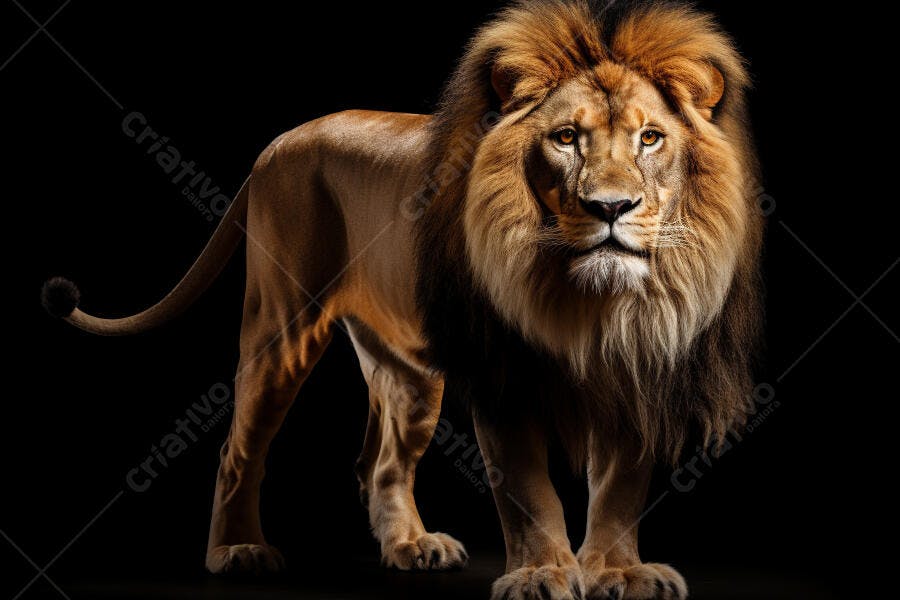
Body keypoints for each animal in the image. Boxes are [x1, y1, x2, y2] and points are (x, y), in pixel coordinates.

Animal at [42, 2, 763, 599]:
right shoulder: (500, 377)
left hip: (411, 374)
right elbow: (528, 490)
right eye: (565, 138)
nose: (611, 208)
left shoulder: (645, 367)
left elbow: (619, 490)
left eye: (650, 138)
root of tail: (276, 144)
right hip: (281, 326)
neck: (594, 302)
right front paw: (540, 574)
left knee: (381, 462)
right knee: (238, 448)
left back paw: (412, 546)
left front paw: (617, 573)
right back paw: (239, 551)